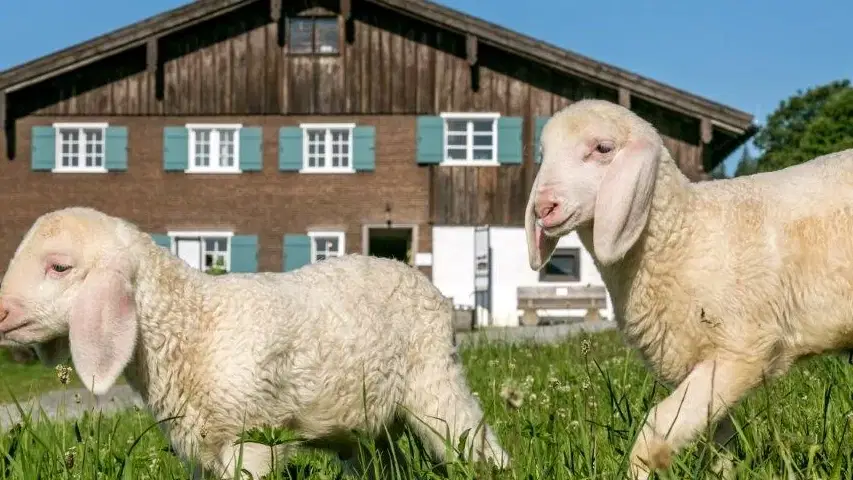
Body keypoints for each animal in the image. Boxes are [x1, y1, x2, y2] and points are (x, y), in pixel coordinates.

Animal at [0, 207, 510, 479]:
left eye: (59, 267)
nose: (1, 311)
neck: (193, 324)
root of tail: (418, 279)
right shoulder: (200, 450)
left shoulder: (252, 438)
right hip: (365, 423)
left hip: (435, 379)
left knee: (473, 439)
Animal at [525, 98, 853, 479]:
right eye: (543, 153)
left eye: (603, 148)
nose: (544, 207)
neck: (684, 232)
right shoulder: (705, 359)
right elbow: (719, 442)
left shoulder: (742, 348)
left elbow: (656, 430)